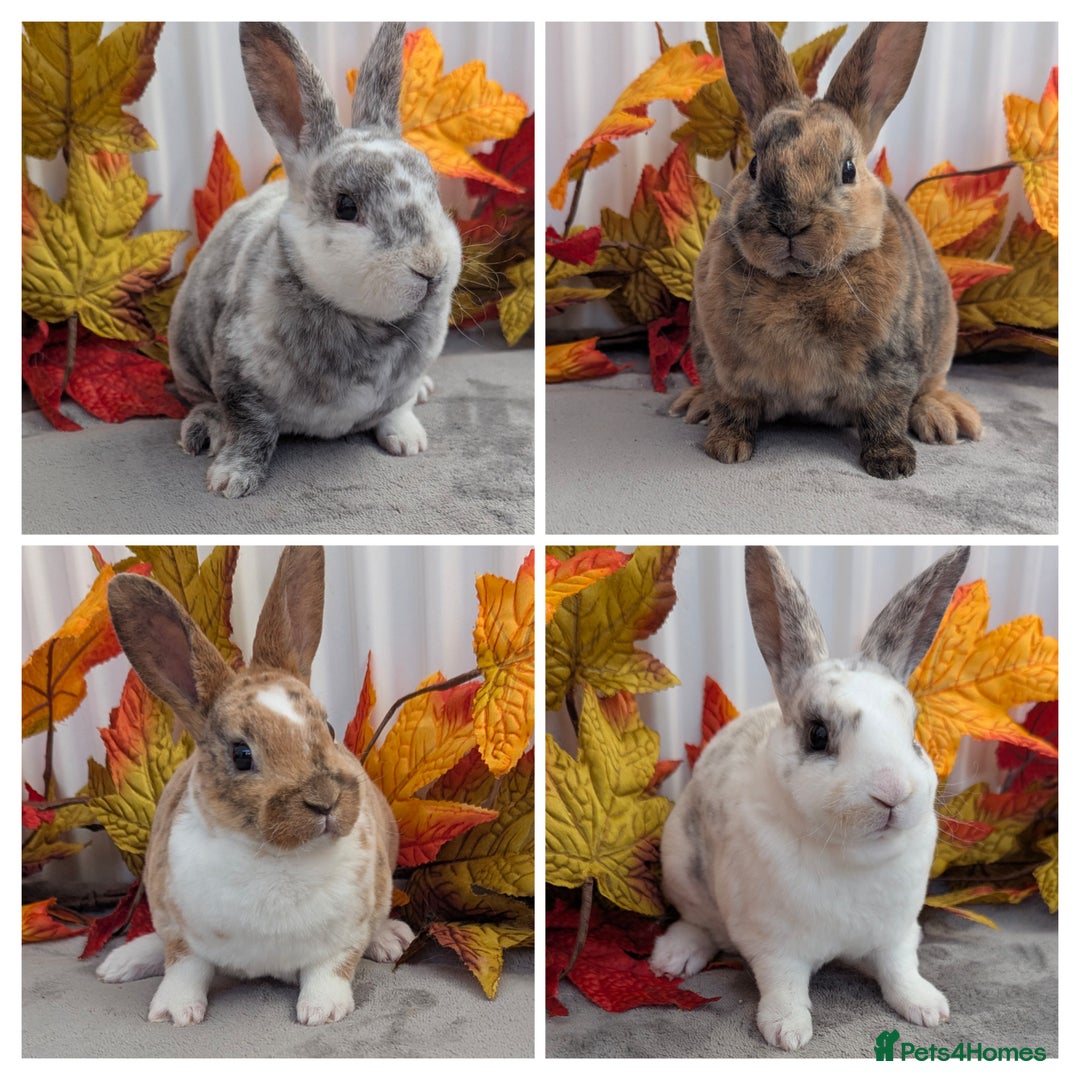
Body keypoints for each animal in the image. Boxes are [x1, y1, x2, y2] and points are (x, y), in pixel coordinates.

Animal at [95, 546, 414, 1025]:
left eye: (330, 728)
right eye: (241, 755)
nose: (326, 800)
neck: (273, 856)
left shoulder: (345, 934)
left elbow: (331, 969)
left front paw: (322, 1012)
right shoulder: (179, 930)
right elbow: (183, 968)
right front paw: (174, 1013)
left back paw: (392, 939)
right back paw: (120, 963)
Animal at [168, 22, 462, 497]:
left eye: (433, 188)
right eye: (346, 206)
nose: (432, 267)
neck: (367, 325)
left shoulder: (402, 382)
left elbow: (396, 407)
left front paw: (408, 441)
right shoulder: (239, 378)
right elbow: (251, 430)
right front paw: (231, 480)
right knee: (201, 398)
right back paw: (203, 431)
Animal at [650, 545, 970, 1050]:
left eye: (913, 733)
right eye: (818, 735)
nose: (893, 793)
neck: (854, 855)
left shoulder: (898, 932)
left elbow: (900, 970)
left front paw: (928, 1009)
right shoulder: (773, 942)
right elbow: (783, 984)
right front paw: (787, 1032)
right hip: (681, 869)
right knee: (698, 923)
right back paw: (673, 958)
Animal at [671, 23, 982, 480]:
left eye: (848, 169)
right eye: (754, 165)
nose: (789, 223)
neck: (800, 281)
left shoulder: (892, 366)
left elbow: (885, 414)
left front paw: (893, 464)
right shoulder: (723, 368)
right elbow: (732, 408)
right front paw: (726, 448)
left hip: (942, 342)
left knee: (930, 387)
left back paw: (946, 419)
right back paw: (695, 404)